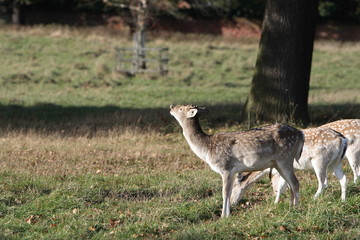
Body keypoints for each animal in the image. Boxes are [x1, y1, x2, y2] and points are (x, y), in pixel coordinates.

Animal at [171, 104, 304, 218]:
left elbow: (225, 192)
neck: (207, 149)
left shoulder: (226, 167)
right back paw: (290, 207)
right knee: (290, 184)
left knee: (295, 183)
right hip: (277, 164)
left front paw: (223, 216)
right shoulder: (232, 171)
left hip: (285, 158)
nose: (172, 106)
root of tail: (300, 133)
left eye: (181, 108)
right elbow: (230, 192)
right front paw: (228, 214)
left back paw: (295, 209)